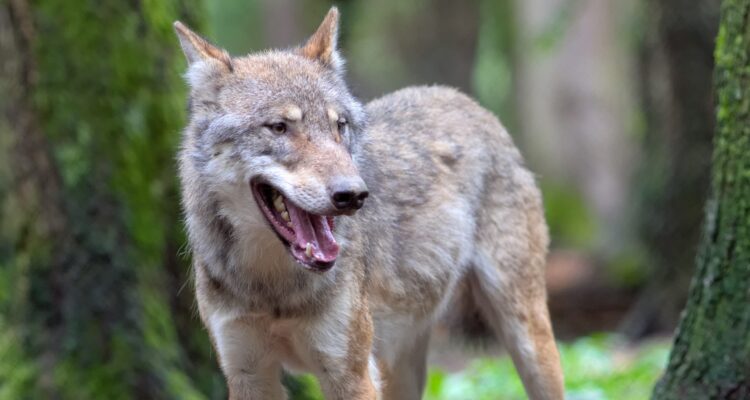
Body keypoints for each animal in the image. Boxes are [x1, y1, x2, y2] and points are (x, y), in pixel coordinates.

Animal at [175, 7, 564, 400]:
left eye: (339, 125)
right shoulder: (248, 374)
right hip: (402, 366)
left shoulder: (351, 374)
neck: (272, 289)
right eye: (279, 127)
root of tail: (461, 98)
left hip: (528, 338)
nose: (353, 195)